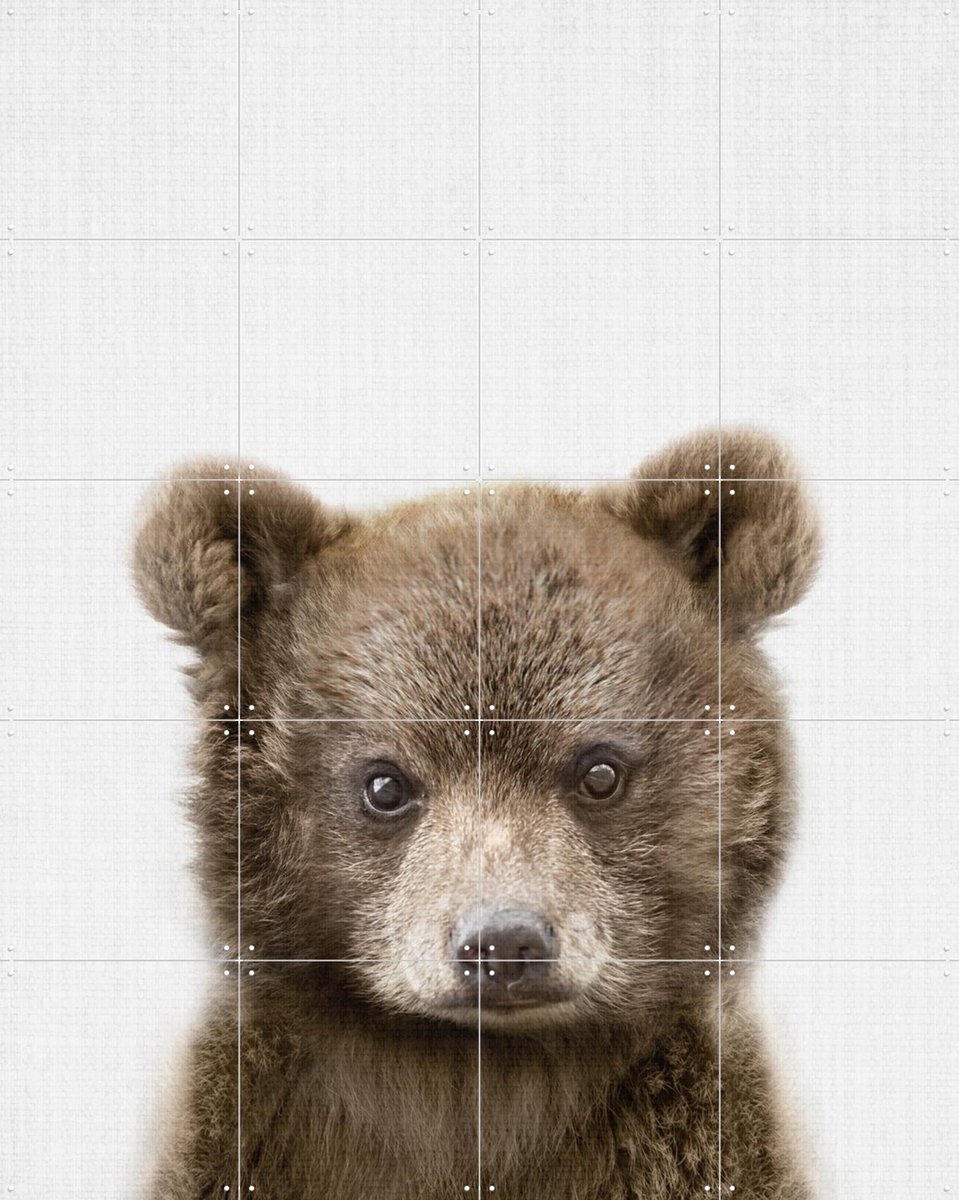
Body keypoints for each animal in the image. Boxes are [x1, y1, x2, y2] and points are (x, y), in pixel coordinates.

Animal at [133, 428, 821, 1199]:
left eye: (599, 771)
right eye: (385, 784)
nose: (503, 943)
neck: (478, 1079)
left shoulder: (689, 1140)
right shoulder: (251, 1132)